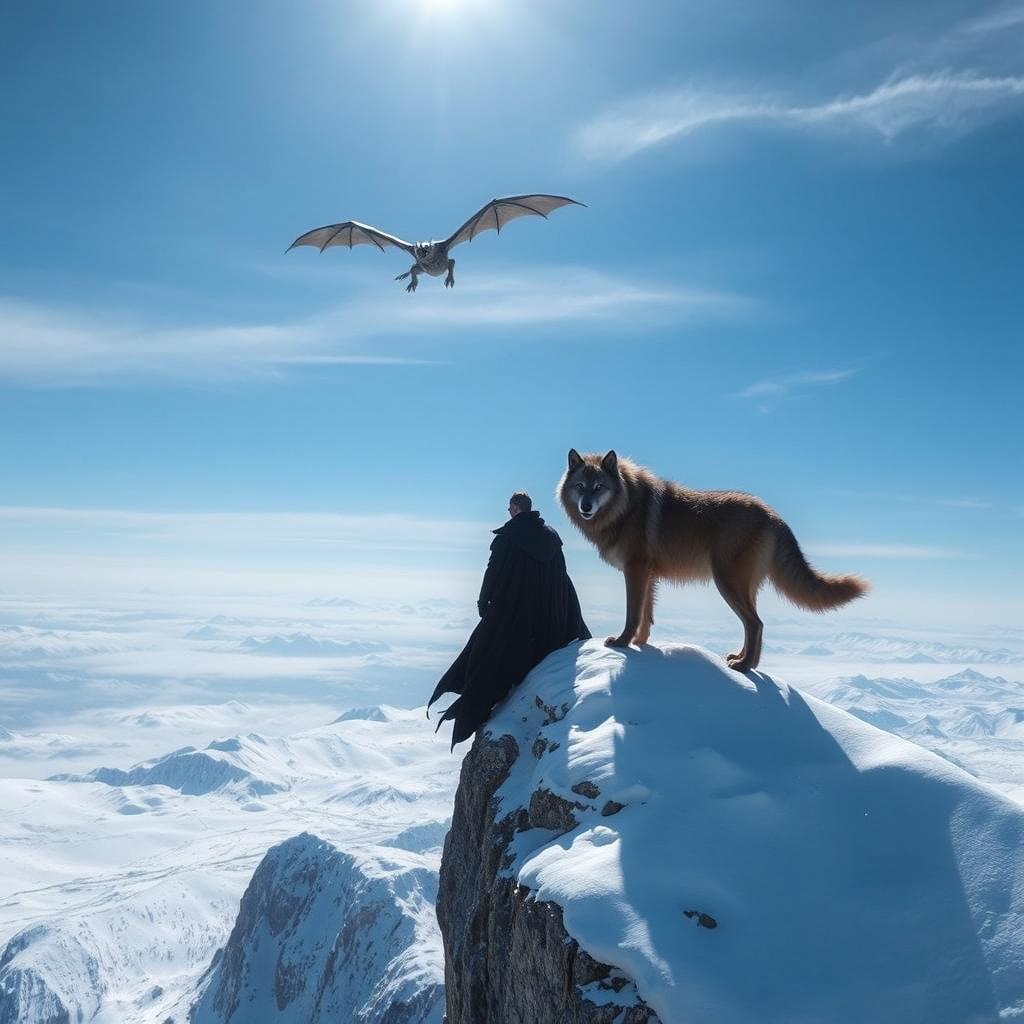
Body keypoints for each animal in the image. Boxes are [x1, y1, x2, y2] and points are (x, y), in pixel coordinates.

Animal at [557, 449, 869, 672]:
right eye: (580, 486)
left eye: (598, 487)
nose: (586, 506)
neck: (625, 508)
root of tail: (773, 515)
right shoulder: (649, 575)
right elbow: (646, 616)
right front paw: (641, 644)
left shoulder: (635, 571)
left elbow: (633, 614)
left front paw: (622, 643)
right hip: (742, 587)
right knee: (754, 625)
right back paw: (742, 659)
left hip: (727, 584)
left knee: (756, 623)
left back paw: (744, 666)